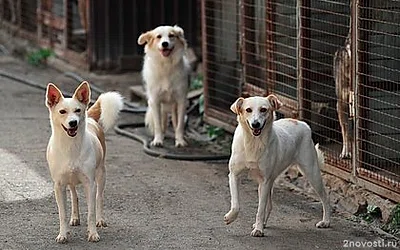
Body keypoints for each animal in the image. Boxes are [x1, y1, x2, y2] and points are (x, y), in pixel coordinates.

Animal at [45, 81, 123, 243]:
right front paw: (63, 234)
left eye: (78, 110)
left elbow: (91, 212)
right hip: (70, 181)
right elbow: (62, 214)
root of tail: (91, 119)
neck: (71, 146)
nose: (73, 122)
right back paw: (75, 218)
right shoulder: (59, 186)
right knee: (74, 196)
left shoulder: (90, 184)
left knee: (99, 198)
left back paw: (100, 220)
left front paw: (92, 233)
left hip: (101, 175)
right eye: (62, 111)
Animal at [223, 95, 330, 236]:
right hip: (270, 182)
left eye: (263, 109)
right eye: (248, 110)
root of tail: (301, 123)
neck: (254, 143)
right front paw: (230, 217)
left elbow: (260, 210)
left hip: (312, 174)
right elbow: (236, 204)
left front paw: (258, 229)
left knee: (325, 197)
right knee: (269, 205)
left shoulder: (264, 181)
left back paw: (326, 221)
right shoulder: (234, 175)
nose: (255, 124)